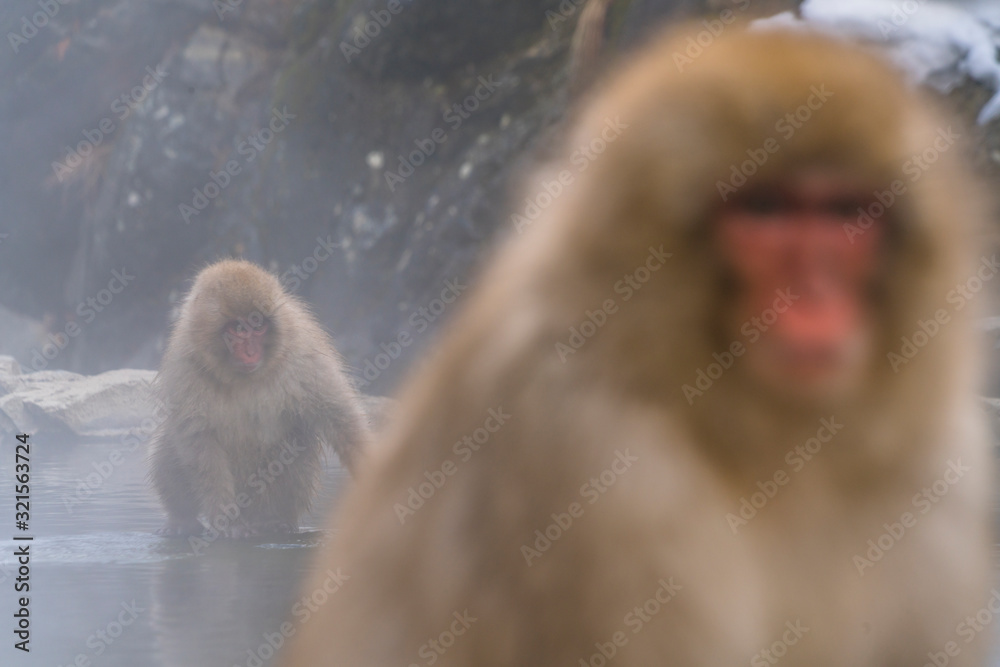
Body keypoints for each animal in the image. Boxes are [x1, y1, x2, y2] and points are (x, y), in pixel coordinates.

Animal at [148, 259, 370, 539]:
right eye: (238, 328)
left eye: (258, 325)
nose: (251, 352)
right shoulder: (184, 363)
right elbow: (199, 443)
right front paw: (226, 519)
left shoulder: (303, 350)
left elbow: (339, 416)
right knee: (168, 445)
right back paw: (182, 520)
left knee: (297, 448)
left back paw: (275, 520)